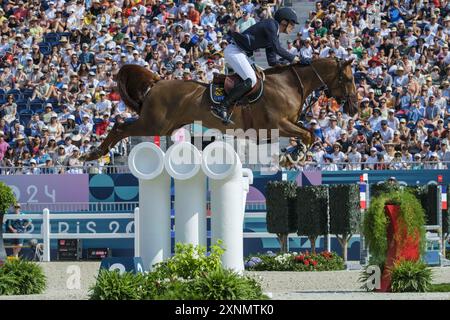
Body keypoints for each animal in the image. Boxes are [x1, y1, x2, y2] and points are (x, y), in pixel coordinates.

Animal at [80, 57, 356, 161]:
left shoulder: (285, 125)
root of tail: (157, 82)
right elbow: (307, 134)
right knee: (119, 128)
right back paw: (92, 153)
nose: (354, 108)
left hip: (164, 126)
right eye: (348, 78)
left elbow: (308, 133)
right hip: (152, 124)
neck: (289, 84)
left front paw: (292, 155)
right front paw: (292, 157)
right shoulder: (276, 125)